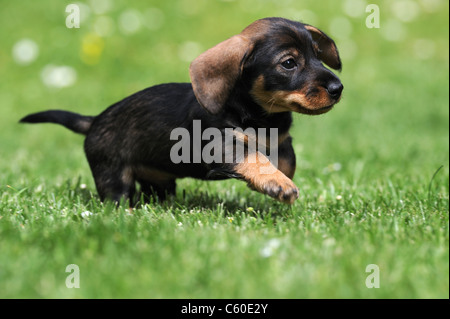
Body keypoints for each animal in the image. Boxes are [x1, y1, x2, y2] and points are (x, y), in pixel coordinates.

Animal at [19, 17, 342, 206]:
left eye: (317, 55)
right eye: (289, 63)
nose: (338, 88)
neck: (262, 117)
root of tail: (95, 120)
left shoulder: (283, 142)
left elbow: (285, 160)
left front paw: (275, 184)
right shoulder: (221, 146)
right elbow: (254, 157)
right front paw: (277, 183)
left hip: (159, 180)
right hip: (112, 175)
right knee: (116, 197)